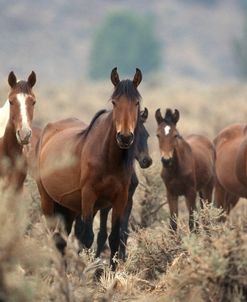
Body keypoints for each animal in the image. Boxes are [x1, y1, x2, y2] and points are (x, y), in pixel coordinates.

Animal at [35, 66, 142, 268]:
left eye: (137, 102)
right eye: (114, 102)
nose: (125, 137)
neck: (108, 158)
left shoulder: (120, 198)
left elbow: (114, 237)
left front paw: (111, 274)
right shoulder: (88, 196)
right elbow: (87, 238)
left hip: (68, 208)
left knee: (62, 241)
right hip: (48, 202)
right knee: (55, 238)